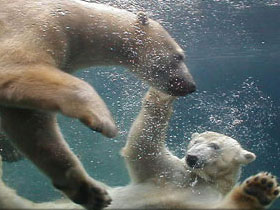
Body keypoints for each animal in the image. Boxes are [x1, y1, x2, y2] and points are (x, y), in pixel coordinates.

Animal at [0, 0, 196, 208]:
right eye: (179, 56)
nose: (191, 86)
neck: (73, 20)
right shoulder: (36, 23)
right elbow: (15, 65)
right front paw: (104, 121)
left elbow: (31, 123)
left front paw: (90, 193)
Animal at [0, 88, 280, 209]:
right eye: (194, 142)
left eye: (214, 145)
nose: (191, 158)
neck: (196, 180)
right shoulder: (168, 172)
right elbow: (144, 145)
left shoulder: (202, 197)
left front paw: (260, 188)